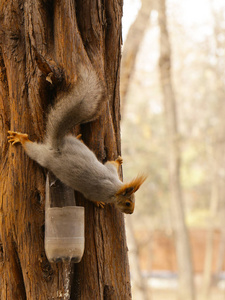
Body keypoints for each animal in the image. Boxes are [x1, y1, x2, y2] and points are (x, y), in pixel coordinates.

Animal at [7, 62, 146, 213]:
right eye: (127, 203)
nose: (131, 212)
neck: (115, 188)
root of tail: (58, 146)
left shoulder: (111, 172)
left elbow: (110, 164)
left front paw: (118, 161)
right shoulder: (98, 191)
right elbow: (90, 196)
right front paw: (98, 202)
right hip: (43, 157)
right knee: (31, 149)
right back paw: (21, 138)